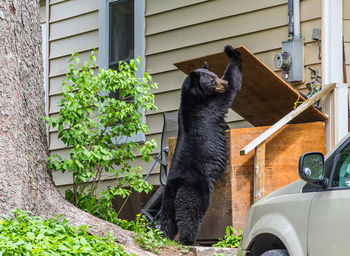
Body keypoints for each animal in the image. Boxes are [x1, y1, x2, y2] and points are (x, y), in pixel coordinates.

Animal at [160, 45, 242, 245]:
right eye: (212, 79)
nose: (222, 83)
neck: (192, 97)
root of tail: (175, 185)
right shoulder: (209, 105)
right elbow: (232, 87)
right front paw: (231, 52)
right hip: (194, 189)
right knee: (190, 213)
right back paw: (187, 239)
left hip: (167, 198)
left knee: (167, 219)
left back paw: (164, 236)